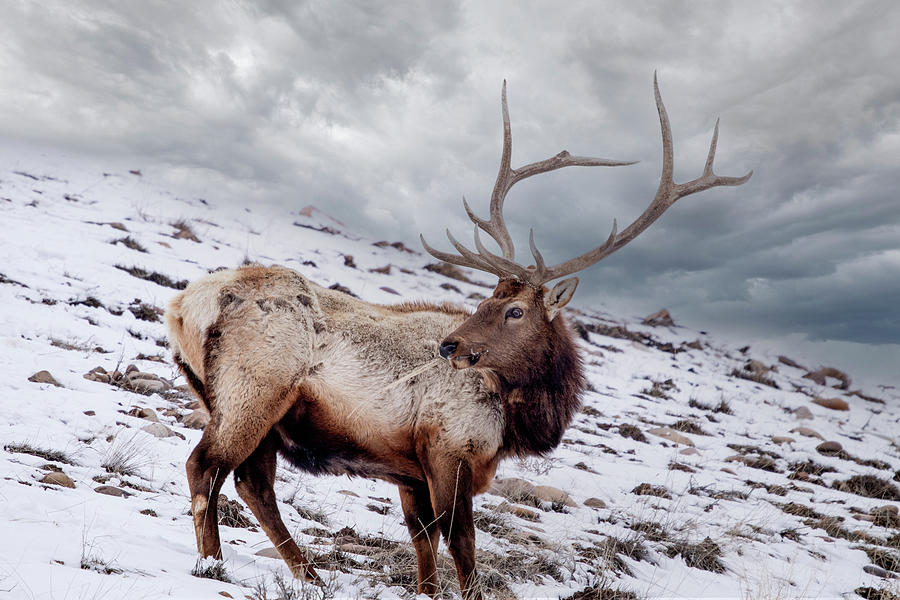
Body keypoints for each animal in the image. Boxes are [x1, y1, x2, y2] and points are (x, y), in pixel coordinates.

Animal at [165, 76, 748, 600]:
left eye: (511, 308)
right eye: (491, 301)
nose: (449, 346)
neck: (518, 419)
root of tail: (181, 308)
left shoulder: (409, 470)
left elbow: (424, 546)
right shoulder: (451, 447)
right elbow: (463, 546)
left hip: (244, 407)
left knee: (252, 483)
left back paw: (310, 576)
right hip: (254, 392)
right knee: (206, 467)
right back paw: (213, 566)